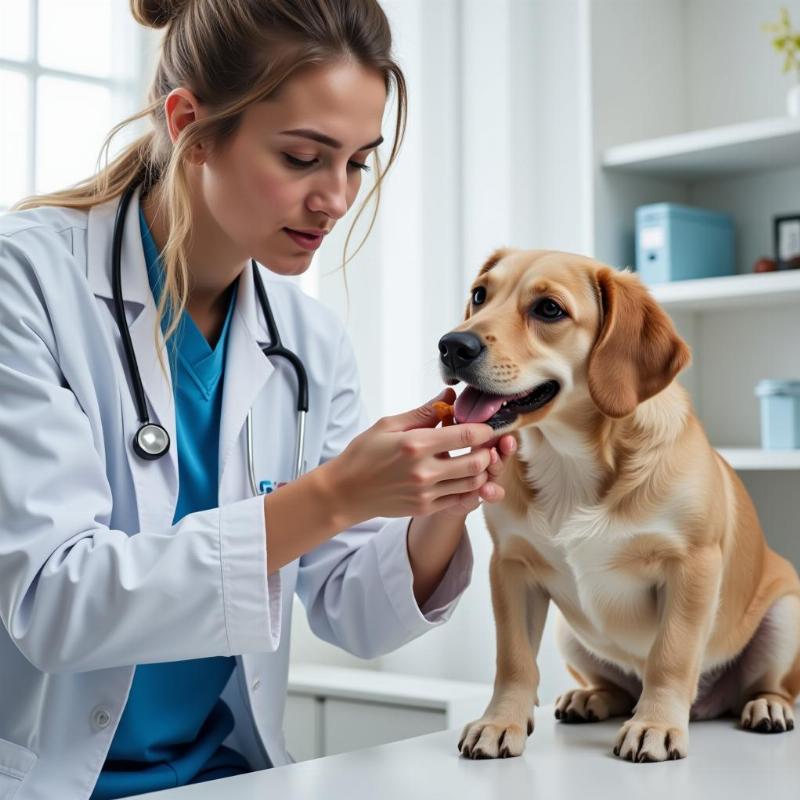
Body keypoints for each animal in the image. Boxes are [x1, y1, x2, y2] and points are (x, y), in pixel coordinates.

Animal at [438, 248, 800, 764]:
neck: (569, 459)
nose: (452, 346)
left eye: (549, 309)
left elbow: (670, 656)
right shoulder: (511, 568)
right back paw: (589, 697)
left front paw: (656, 725)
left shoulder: (692, 565)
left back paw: (766, 706)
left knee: (770, 686)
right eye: (480, 295)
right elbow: (514, 660)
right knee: (617, 687)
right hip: (570, 634)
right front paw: (500, 721)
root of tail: (709, 706)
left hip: (785, 616)